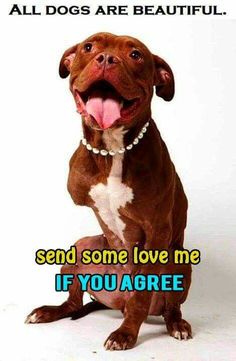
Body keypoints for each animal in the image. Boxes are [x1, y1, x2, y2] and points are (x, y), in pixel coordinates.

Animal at [25, 31, 192, 348]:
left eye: (136, 55)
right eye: (88, 47)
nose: (106, 58)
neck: (113, 147)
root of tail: (116, 302)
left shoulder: (157, 231)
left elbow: (141, 295)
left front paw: (126, 334)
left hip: (177, 263)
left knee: (168, 307)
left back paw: (176, 324)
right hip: (82, 247)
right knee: (73, 302)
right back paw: (47, 312)